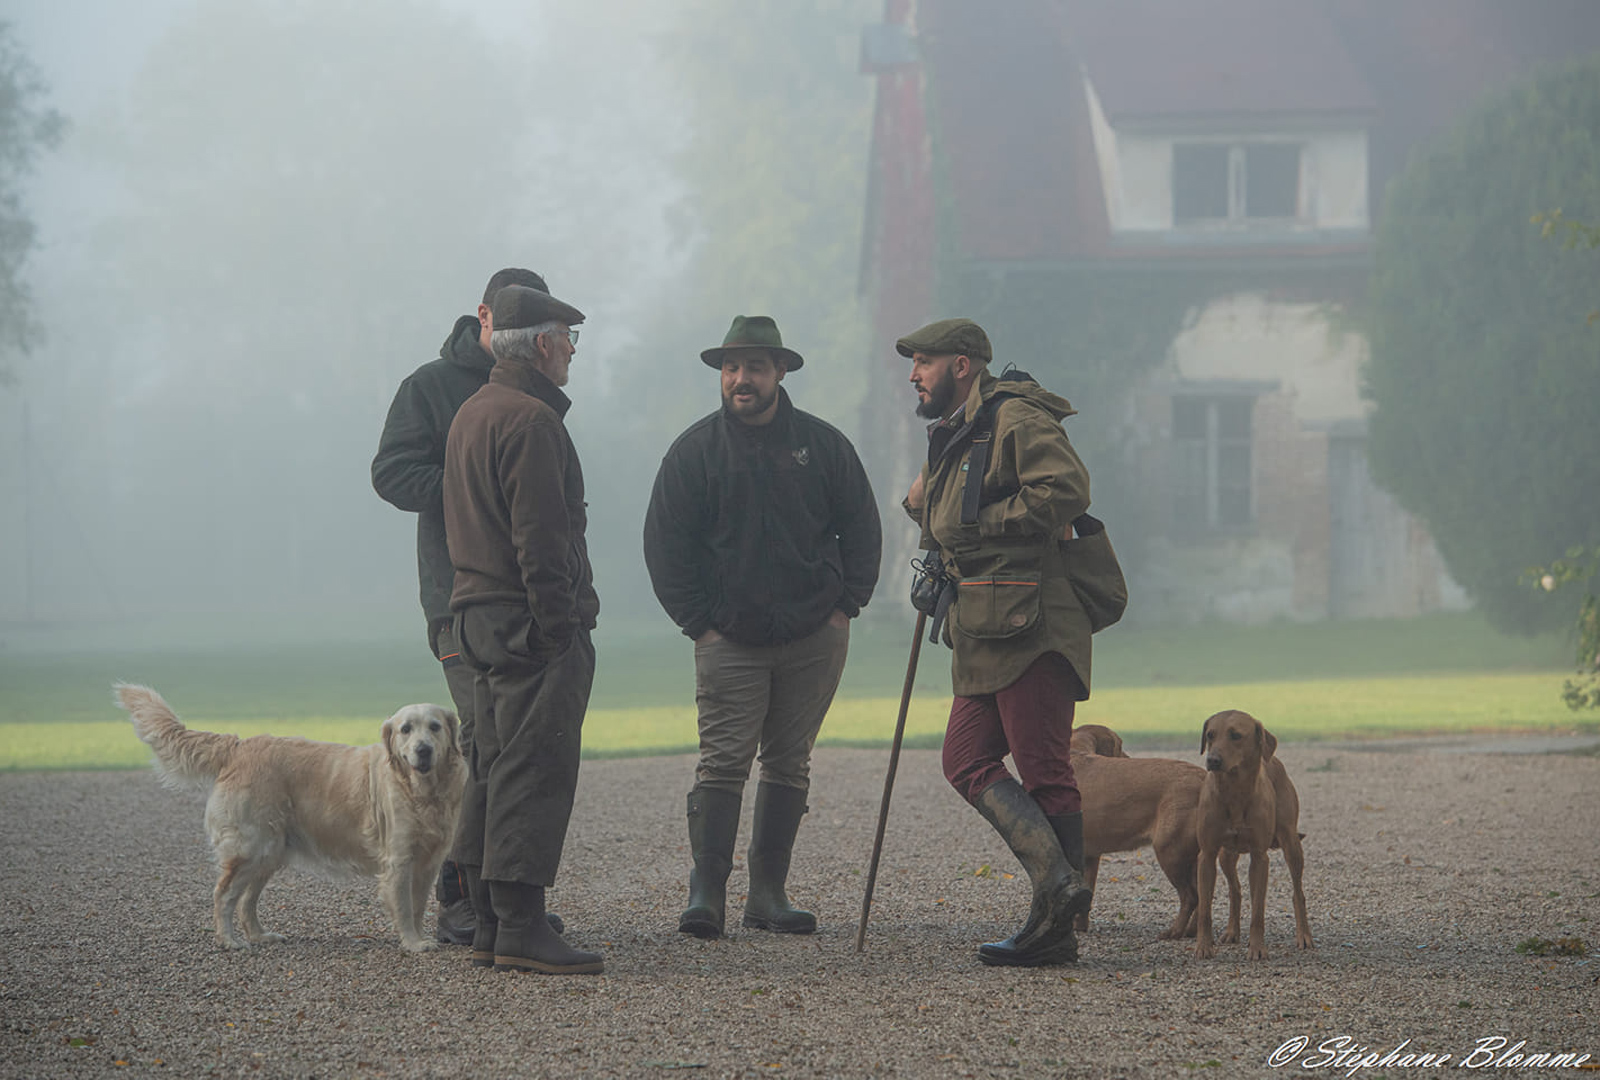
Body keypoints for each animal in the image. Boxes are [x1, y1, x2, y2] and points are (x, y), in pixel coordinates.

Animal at [116, 684, 467, 953]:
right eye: (406, 729)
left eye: (434, 727)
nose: (423, 750)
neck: (422, 792)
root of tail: (239, 745)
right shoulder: (399, 860)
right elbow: (405, 907)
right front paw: (413, 943)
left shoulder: (428, 862)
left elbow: (418, 906)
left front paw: (419, 938)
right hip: (251, 847)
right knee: (224, 895)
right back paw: (229, 940)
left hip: (269, 853)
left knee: (246, 901)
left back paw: (260, 935)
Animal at [1190, 713, 1312, 960]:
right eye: (1210, 735)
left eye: (1236, 735)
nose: (1212, 760)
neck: (1234, 791)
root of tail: (1272, 759)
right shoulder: (1207, 855)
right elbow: (1205, 909)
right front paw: (1203, 946)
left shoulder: (1259, 856)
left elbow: (1258, 911)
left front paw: (1257, 948)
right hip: (1225, 855)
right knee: (1235, 890)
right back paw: (1232, 931)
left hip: (1291, 843)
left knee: (1297, 893)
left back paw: (1304, 935)